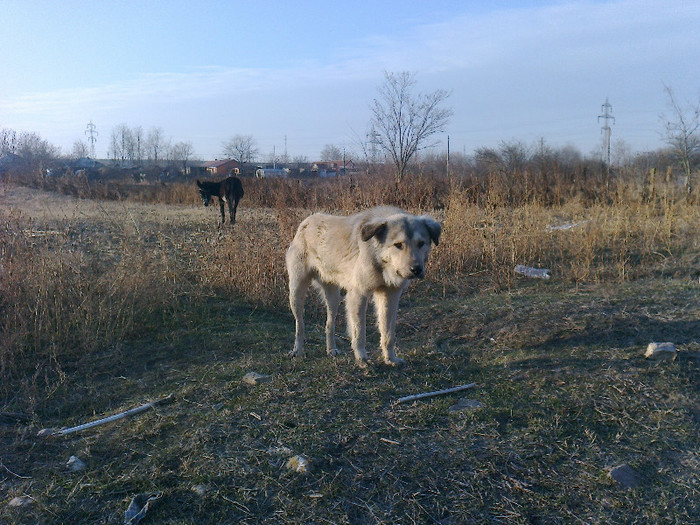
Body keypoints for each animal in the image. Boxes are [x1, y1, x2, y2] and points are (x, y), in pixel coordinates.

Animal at [284, 205, 438, 364]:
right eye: (398, 245)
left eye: (421, 243)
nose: (416, 269)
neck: (380, 259)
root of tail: (307, 221)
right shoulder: (358, 295)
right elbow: (359, 332)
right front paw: (362, 358)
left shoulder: (390, 296)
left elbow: (388, 334)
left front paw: (391, 359)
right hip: (296, 291)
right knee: (300, 325)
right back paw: (297, 351)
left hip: (334, 298)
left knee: (329, 324)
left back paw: (331, 350)